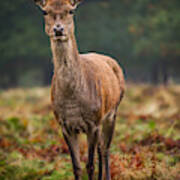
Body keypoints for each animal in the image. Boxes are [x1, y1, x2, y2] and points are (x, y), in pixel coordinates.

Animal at [33, 0, 124, 179]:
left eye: (71, 11)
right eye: (45, 12)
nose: (58, 29)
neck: (72, 101)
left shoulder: (93, 122)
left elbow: (90, 165)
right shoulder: (64, 125)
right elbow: (76, 166)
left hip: (112, 112)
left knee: (105, 149)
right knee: (101, 147)